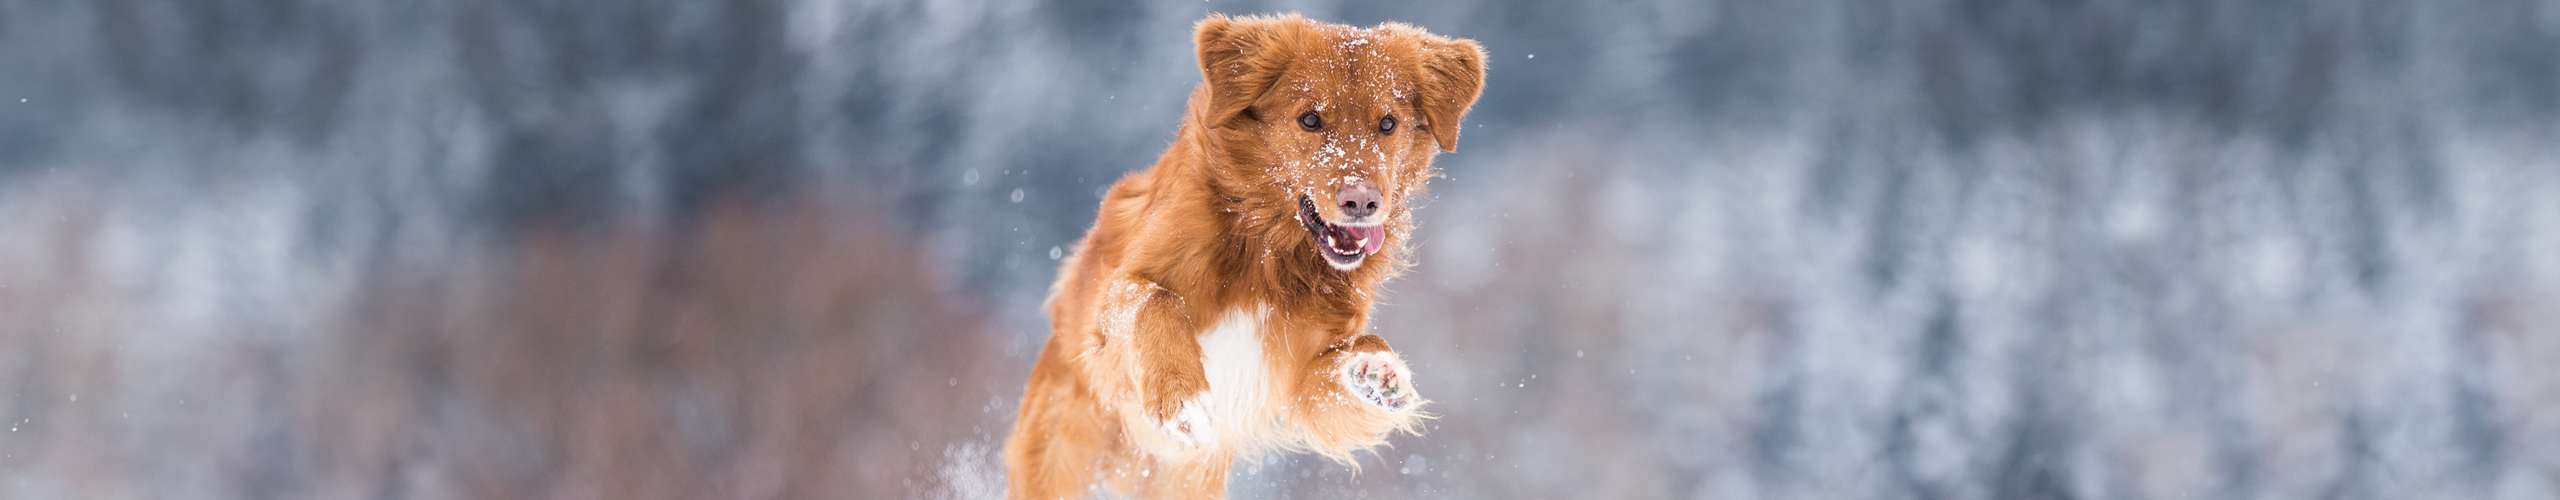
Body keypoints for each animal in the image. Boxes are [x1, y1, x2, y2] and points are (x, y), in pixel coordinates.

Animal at [993, 11, 1484, 500]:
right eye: (1310, 119)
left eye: (1387, 124)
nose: (1361, 201)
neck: (1266, 248)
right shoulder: (1108, 316)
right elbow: (1154, 299)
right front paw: (1183, 399)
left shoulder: (1298, 381)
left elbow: (1338, 378)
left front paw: (1374, 372)